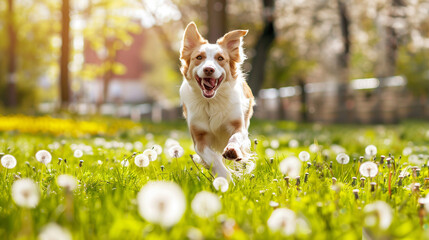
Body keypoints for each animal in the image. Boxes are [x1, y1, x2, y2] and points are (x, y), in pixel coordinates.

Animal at [178, 22, 254, 181]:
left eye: (220, 58)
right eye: (199, 57)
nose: (208, 69)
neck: (211, 103)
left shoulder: (238, 125)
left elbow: (235, 138)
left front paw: (232, 151)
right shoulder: (199, 138)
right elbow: (212, 158)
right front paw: (225, 179)